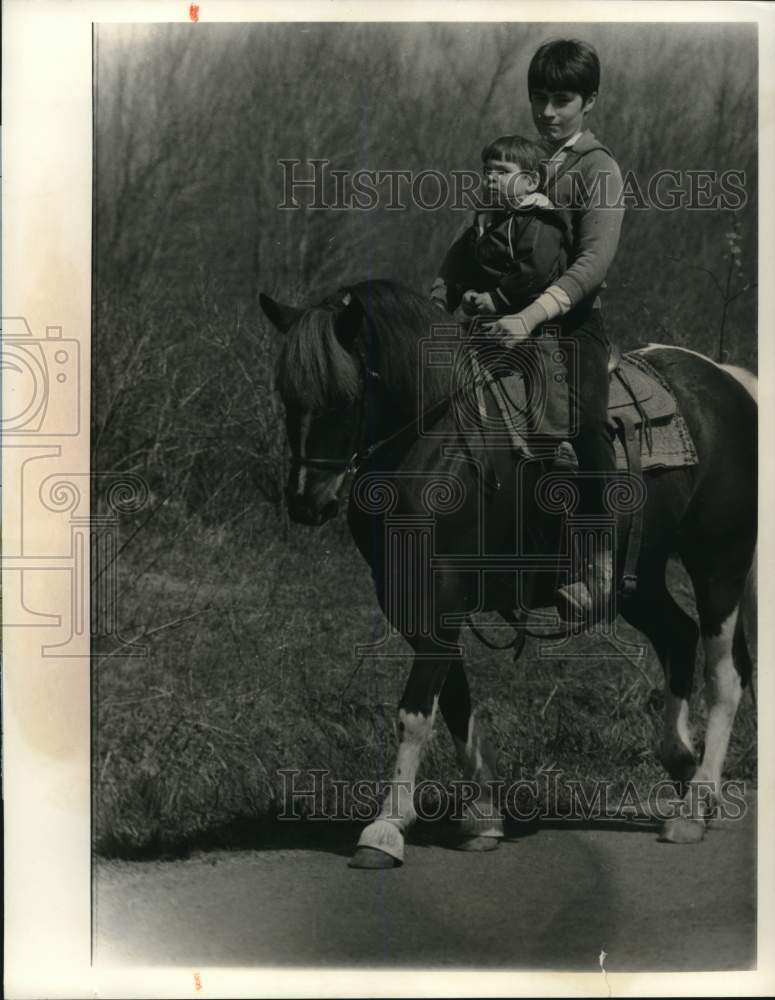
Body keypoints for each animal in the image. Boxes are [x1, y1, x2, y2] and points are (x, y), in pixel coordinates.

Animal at [262, 280, 756, 868]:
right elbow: (455, 706)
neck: (437, 448)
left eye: (344, 396)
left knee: (725, 674)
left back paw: (695, 804)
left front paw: (385, 828)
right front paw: (482, 817)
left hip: (719, 560)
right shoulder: (418, 605)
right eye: (287, 396)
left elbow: (415, 713)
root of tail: (731, 383)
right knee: (678, 637)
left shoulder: (440, 605)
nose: (306, 503)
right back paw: (680, 763)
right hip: (640, 576)